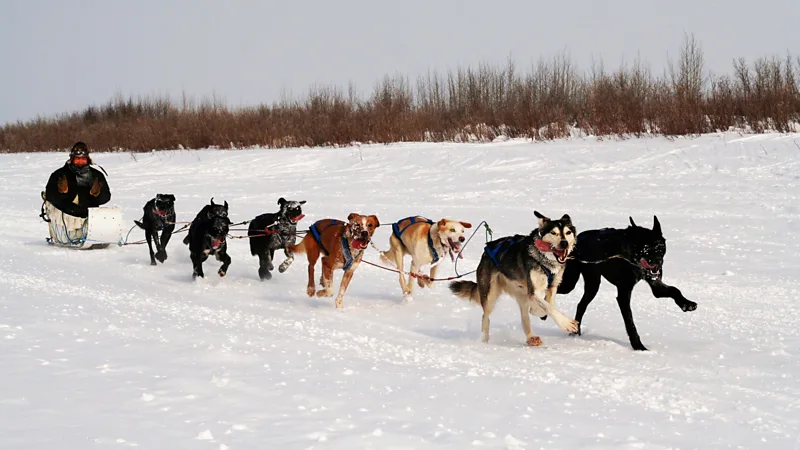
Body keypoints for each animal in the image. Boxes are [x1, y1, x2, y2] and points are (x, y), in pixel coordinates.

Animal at [560, 215, 696, 352]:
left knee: (581, 305)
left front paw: (686, 304)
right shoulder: (624, 293)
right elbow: (630, 322)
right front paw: (638, 346)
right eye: (645, 248)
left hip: (593, 284)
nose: (655, 262)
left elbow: (674, 290)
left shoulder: (655, 284)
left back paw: (575, 332)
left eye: (660, 248)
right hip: (570, 282)